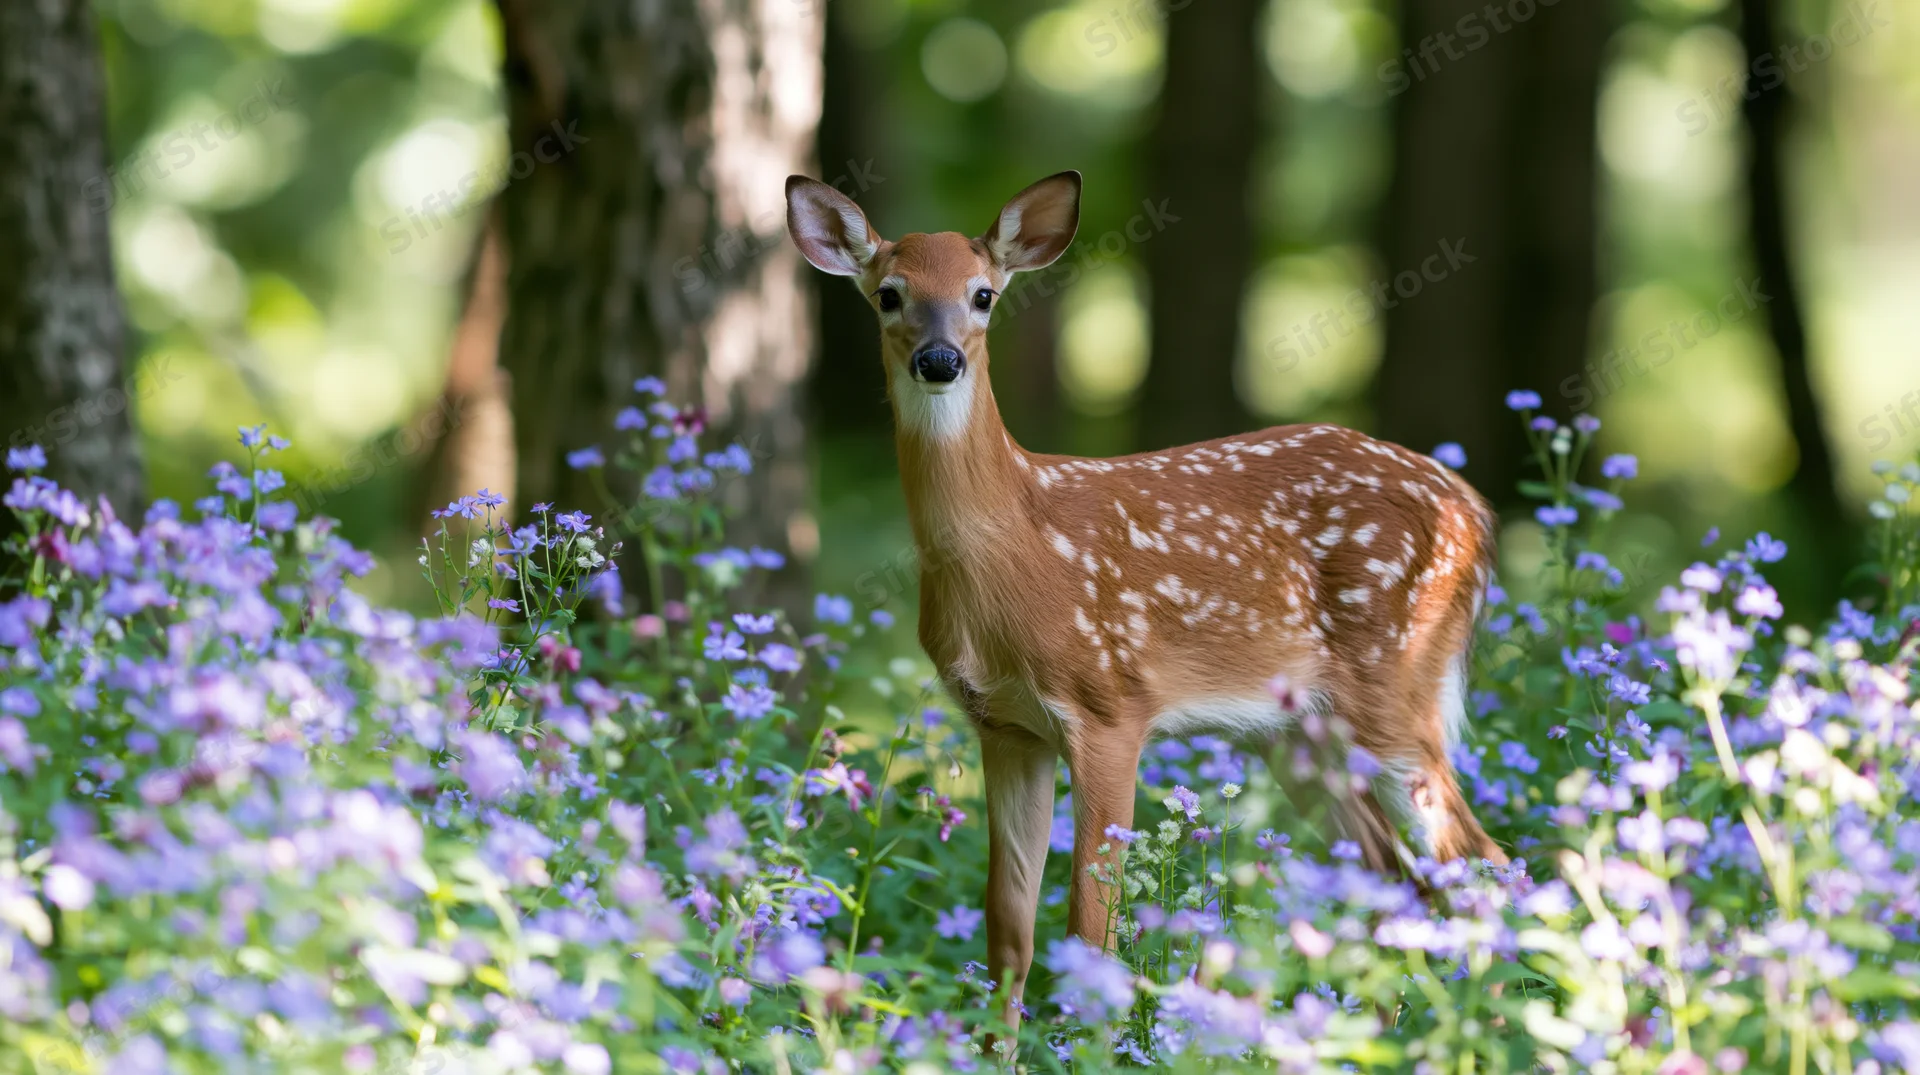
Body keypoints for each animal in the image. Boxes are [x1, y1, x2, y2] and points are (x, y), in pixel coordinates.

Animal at [785, 170, 1507, 1023]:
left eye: (983, 294)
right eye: (889, 293)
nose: (939, 358)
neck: (1015, 551)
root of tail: (1475, 510)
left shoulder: (1108, 705)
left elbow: (1090, 926)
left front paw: (1085, 1034)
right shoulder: (1005, 723)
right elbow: (1009, 928)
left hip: (1397, 684)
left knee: (1485, 863)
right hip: (1299, 733)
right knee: (1392, 874)